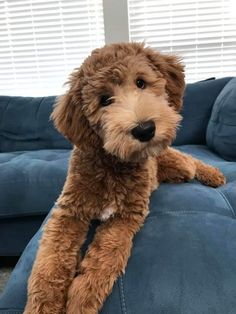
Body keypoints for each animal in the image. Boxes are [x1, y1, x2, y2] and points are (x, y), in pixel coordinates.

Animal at [23, 42, 225, 314]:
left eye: (140, 82)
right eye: (104, 100)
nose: (145, 129)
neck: (112, 164)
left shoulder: (125, 216)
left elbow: (104, 259)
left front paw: (80, 300)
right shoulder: (69, 211)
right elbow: (50, 261)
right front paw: (43, 304)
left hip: (178, 162)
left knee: (191, 161)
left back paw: (215, 176)